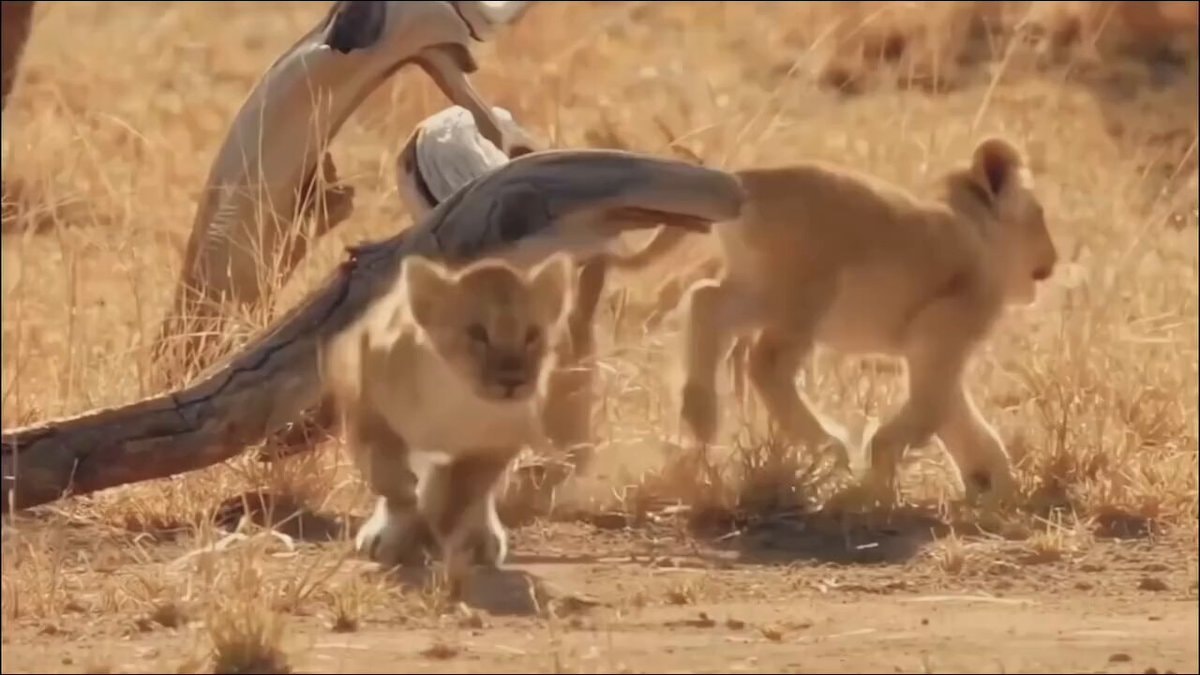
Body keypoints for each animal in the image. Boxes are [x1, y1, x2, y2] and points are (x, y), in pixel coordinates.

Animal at [324, 252, 575, 598]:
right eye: (477, 333)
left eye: (532, 335)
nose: (512, 381)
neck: (455, 396)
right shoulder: (364, 402)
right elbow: (386, 476)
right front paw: (397, 532)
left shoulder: (496, 445)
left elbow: (462, 492)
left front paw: (437, 530)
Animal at [675, 136, 1058, 502]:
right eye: (1040, 213)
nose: (1054, 259)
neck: (978, 229)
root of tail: (744, 182)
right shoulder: (943, 330)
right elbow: (932, 410)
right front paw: (875, 483)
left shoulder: (930, 349)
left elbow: (955, 414)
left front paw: (992, 484)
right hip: (805, 292)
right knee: (767, 362)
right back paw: (832, 447)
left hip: (758, 290)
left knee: (706, 300)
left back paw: (701, 420)